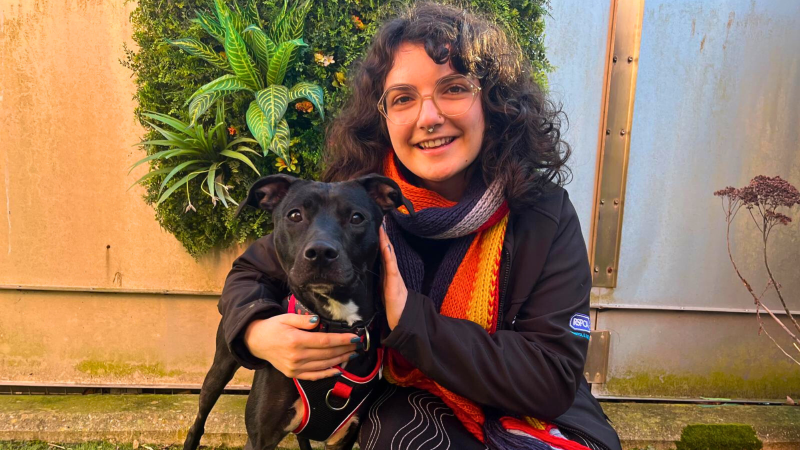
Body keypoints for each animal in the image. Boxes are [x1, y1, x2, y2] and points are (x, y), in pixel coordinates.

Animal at [183, 174, 412, 450]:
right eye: (295, 215)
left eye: (357, 217)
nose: (321, 253)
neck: (335, 321)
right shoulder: (259, 438)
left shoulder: (343, 437)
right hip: (220, 368)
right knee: (199, 419)